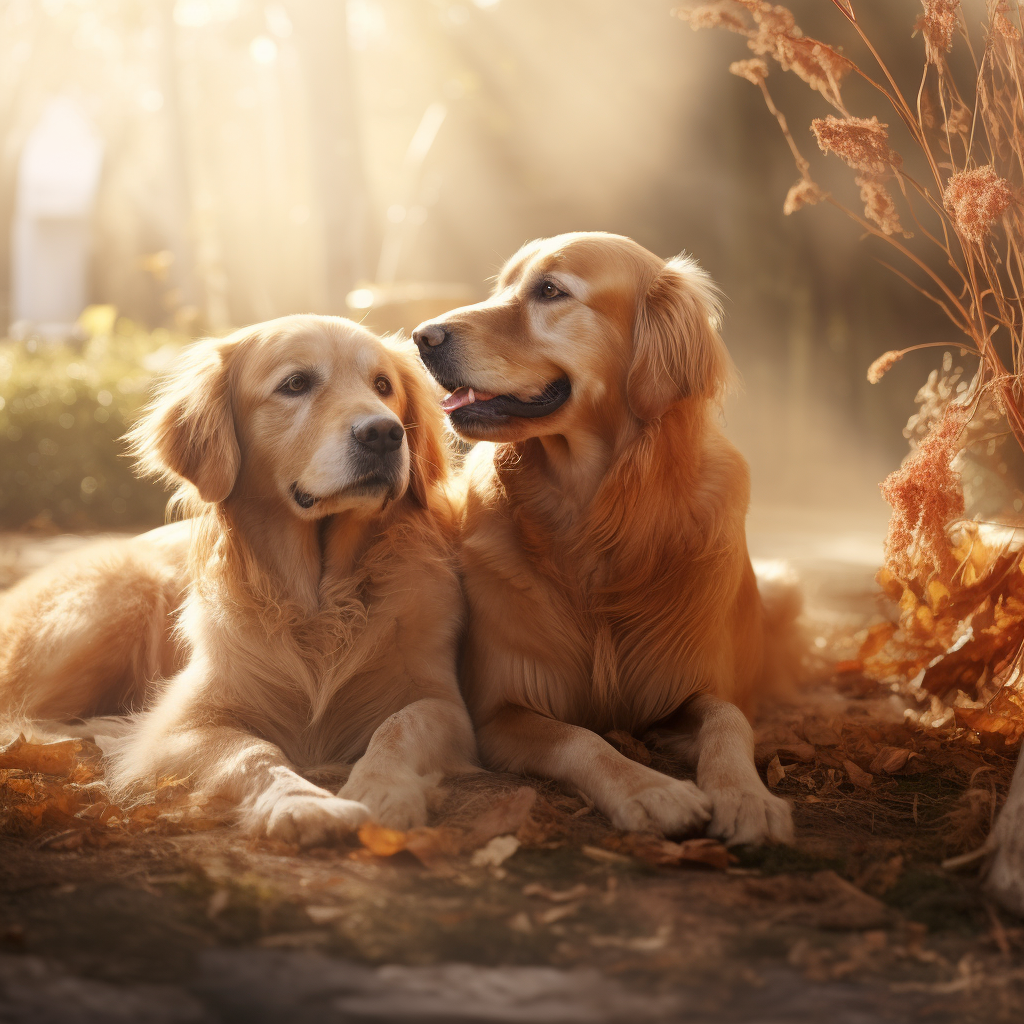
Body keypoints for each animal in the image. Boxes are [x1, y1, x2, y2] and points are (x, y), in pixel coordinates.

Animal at [0, 315, 475, 843]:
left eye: (383, 386)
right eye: (296, 384)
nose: (385, 434)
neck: (320, 601)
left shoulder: (443, 702)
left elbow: (401, 726)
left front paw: (382, 789)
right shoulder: (183, 725)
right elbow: (252, 752)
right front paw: (303, 802)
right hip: (117, 598)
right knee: (23, 719)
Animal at [411, 234, 794, 847]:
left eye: (549, 291)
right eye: (501, 287)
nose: (422, 336)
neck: (595, 516)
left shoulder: (690, 682)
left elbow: (730, 721)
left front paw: (748, 798)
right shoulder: (499, 709)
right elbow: (581, 738)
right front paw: (651, 790)